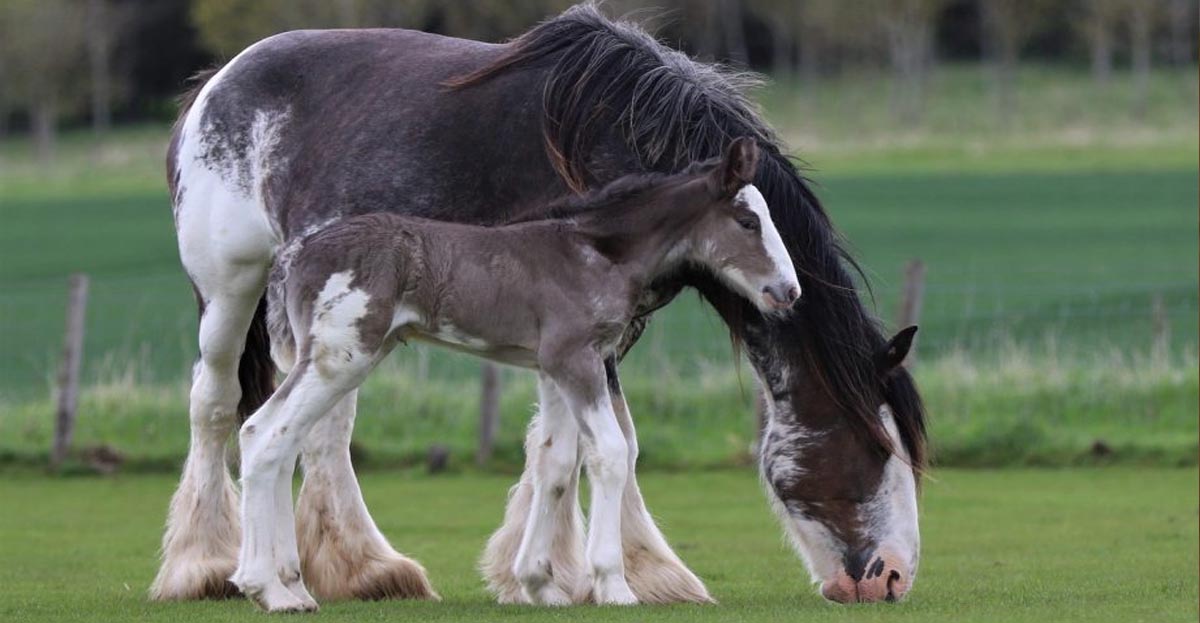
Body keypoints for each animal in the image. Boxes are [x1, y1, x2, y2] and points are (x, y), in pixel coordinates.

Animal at [232, 139, 796, 612]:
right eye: (748, 221)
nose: (788, 292)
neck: (593, 254)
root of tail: (295, 255)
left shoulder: (554, 368)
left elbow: (557, 463)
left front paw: (540, 585)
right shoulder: (577, 360)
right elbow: (611, 453)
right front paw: (614, 586)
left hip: (335, 358)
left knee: (274, 437)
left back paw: (289, 586)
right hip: (341, 355)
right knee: (268, 435)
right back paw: (269, 590)